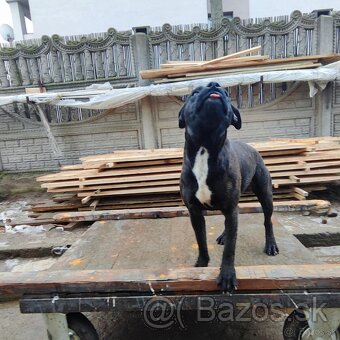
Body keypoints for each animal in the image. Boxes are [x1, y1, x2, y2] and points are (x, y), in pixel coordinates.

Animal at [178, 82, 278, 292]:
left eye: (225, 92)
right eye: (194, 92)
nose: (214, 84)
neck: (206, 148)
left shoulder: (231, 208)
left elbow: (230, 248)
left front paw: (227, 275)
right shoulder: (195, 211)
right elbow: (201, 241)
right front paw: (201, 266)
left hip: (265, 195)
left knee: (268, 220)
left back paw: (271, 244)